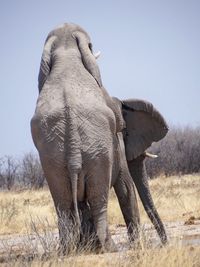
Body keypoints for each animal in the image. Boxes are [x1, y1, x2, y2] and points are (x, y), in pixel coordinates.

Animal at [30, 23, 141, 253]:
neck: (65, 53)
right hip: (97, 151)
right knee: (99, 200)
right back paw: (109, 248)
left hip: (53, 159)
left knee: (63, 204)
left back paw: (67, 250)